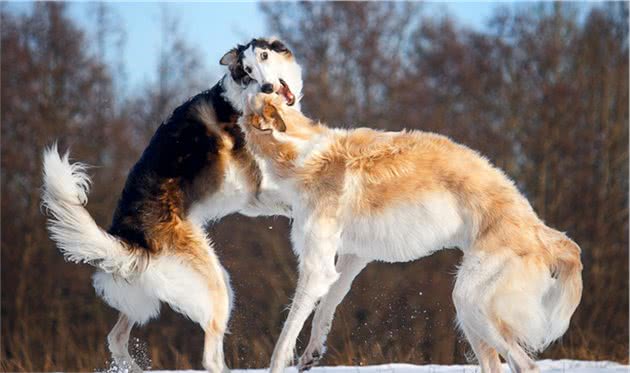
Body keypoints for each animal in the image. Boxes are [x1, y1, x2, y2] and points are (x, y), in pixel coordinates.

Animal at [42, 38, 304, 372]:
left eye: (265, 56)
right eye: (246, 70)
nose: (268, 87)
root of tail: (132, 241)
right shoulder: (258, 189)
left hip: (146, 289)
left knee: (116, 338)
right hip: (215, 285)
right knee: (209, 356)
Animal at [241, 93, 584, 372]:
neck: (302, 149)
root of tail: (546, 236)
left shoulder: (316, 266)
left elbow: (286, 336)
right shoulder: (353, 256)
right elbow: (328, 304)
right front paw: (313, 351)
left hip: (471, 299)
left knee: (527, 365)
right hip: (473, 315)